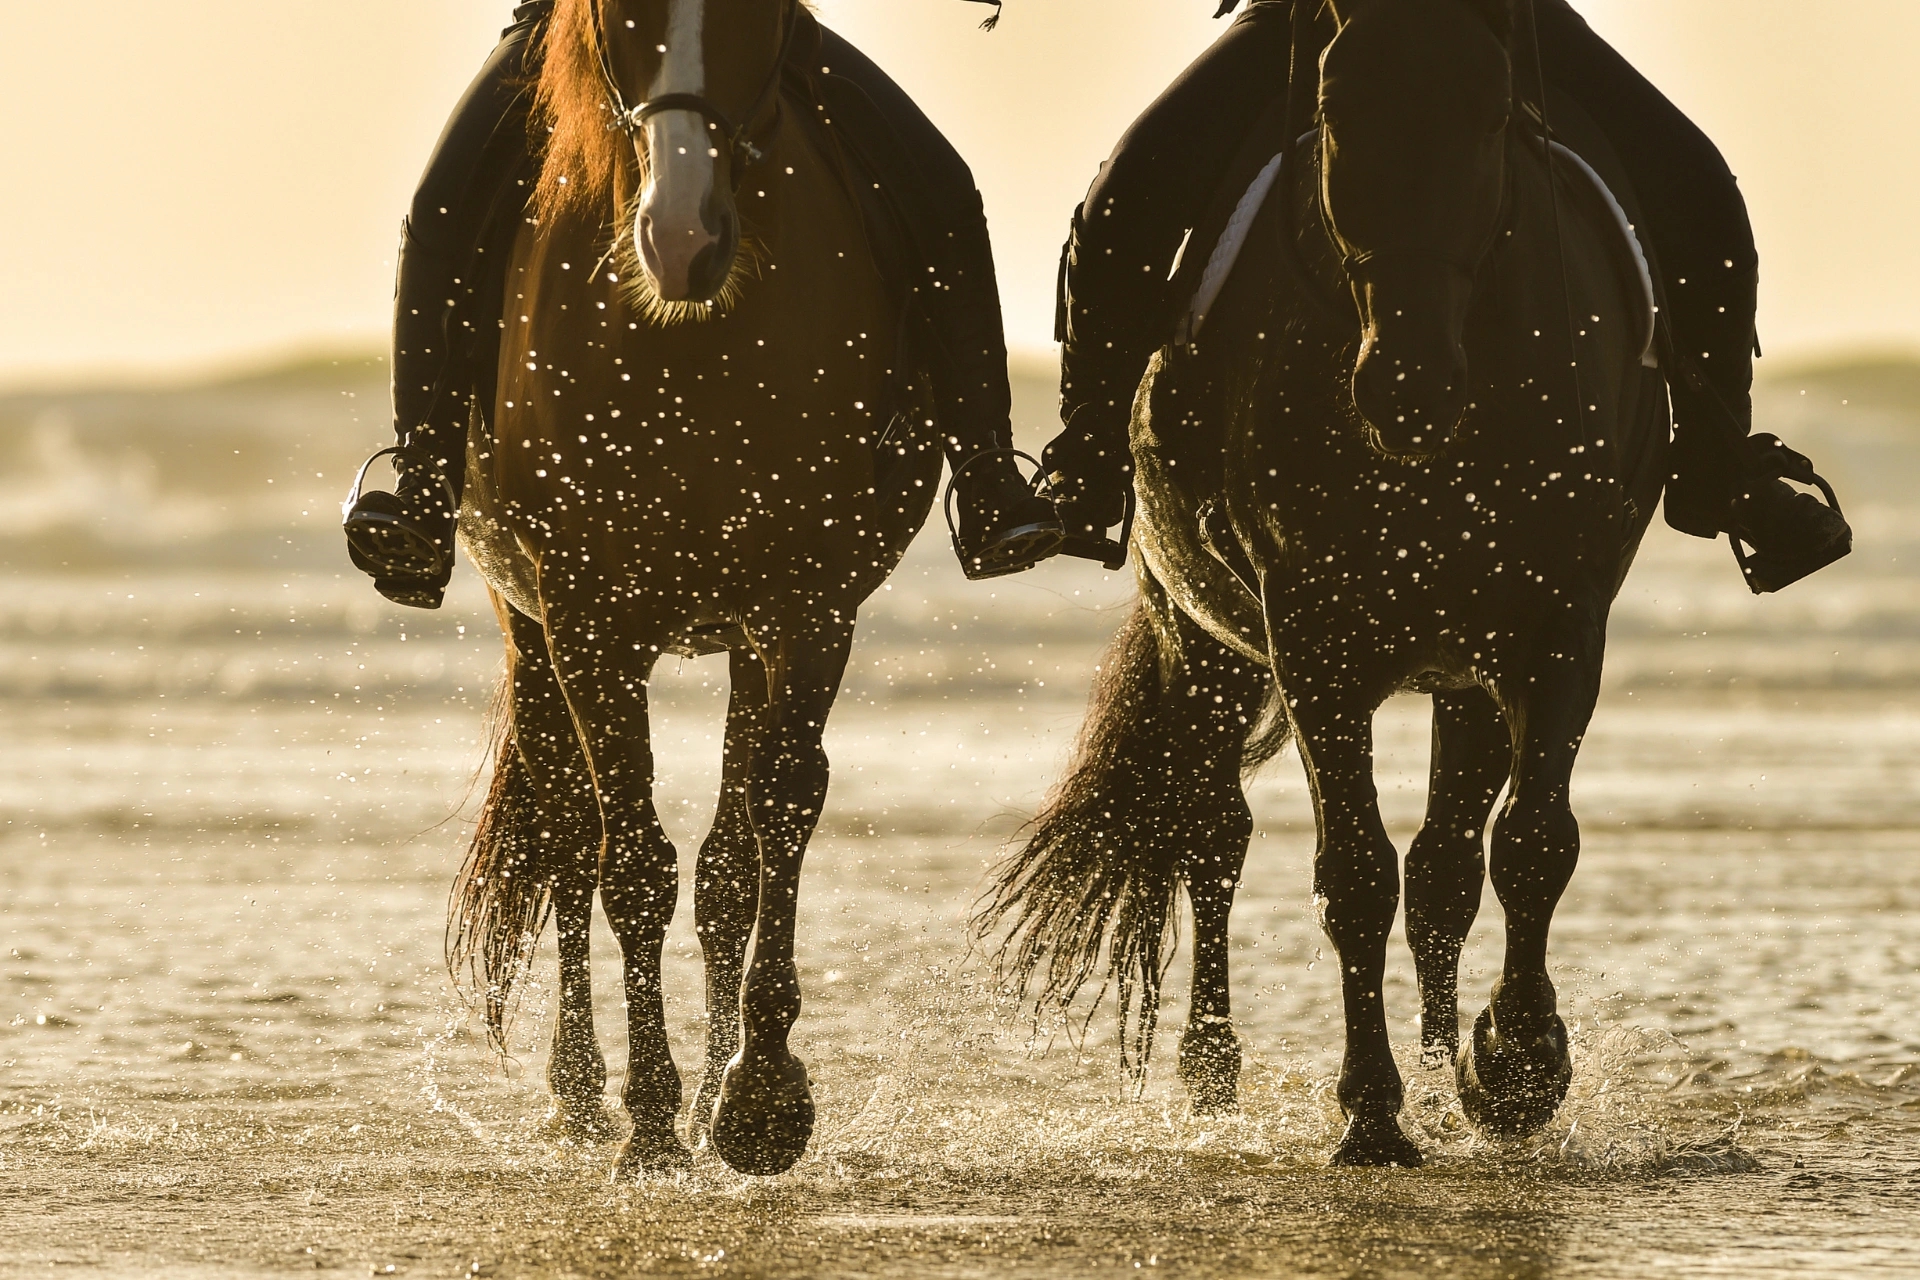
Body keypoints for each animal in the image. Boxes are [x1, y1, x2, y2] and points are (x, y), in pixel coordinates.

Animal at [439, 0, 940, 1182]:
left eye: (757, 13)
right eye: (618, 15)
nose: (682, 238)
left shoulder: (805, 611)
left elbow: (770, 825)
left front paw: (754, 1098)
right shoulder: (589, 619)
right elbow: (626, 861)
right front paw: (655, 1120)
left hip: (742, 645)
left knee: (723, 861)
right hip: (530, 627)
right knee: (565, 837)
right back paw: (582, 1094)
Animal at [975, 0, 1666, 1166]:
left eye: (1491, 113)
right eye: (1340, 110)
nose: (1407, 385)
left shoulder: (1555, 629)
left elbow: (1530, 844)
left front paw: (1512, 1066)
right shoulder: (1314, 639)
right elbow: (1353, 872)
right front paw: (1372, 1111)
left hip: (1461, 677)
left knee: (1444, 872)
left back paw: (1441, 1068)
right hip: (1202, 639)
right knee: (1213, 838)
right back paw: (1213, 1073)